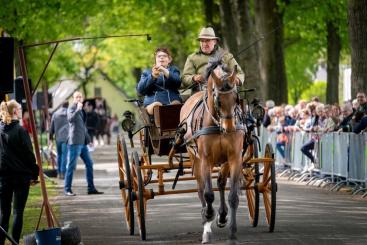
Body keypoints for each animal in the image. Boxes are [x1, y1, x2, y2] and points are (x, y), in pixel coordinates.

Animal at [180, 56, 246, 243]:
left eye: (236, 98)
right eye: (218, 101)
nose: (229, 128)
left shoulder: (234, 158)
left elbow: (233, 196)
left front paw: (232, 233)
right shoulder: (205, 158)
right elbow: (208, 194)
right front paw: (208, 216)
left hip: (223, 161)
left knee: (221, 182)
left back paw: (222, 216)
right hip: (195, 158)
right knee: (201, 187)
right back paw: (206, 222)